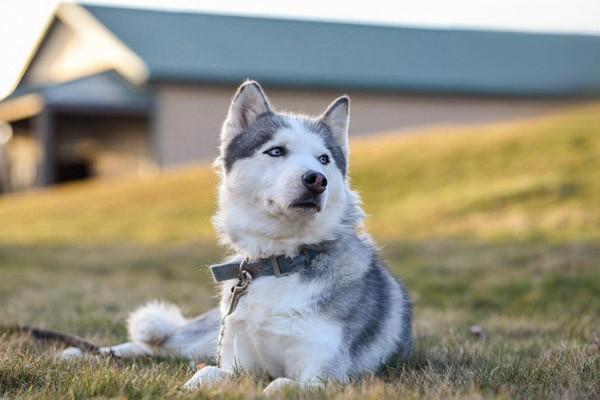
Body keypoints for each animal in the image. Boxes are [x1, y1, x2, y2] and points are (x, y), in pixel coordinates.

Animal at [64, 81, 412, 394]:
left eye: (324, 159)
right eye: (276, 151)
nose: (316, 180)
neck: (279, 262)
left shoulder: (327, 377)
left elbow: (278, 385)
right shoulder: (235, 362)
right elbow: (204, 375)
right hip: (204, 337)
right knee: (159, 345)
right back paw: (82, 353)